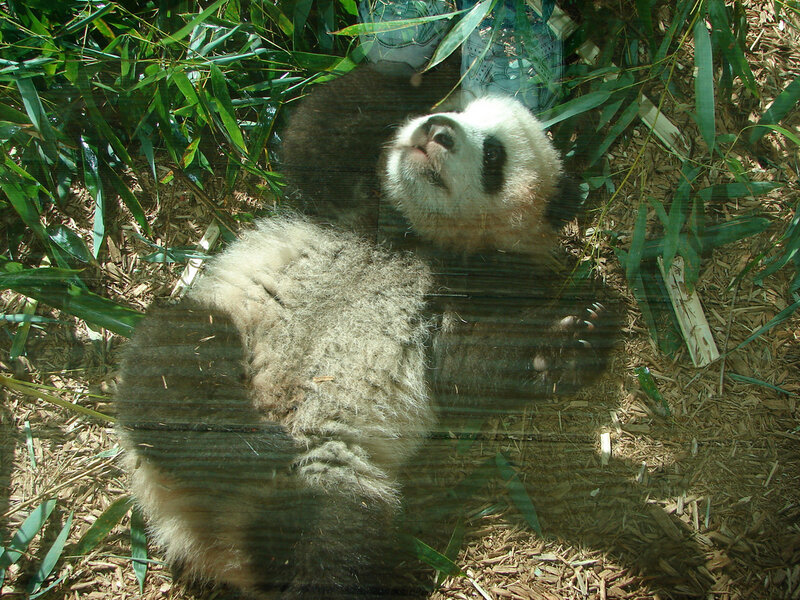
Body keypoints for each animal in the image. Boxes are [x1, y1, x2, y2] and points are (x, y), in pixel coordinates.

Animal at [116, 80, 617, 599]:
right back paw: (242, 442)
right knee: (174, 362)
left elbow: (468, 362)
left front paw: (576, 337)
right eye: (457, 108)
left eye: (494, 155)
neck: (417, 239)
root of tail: (214, 543)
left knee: (338, 548)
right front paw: (426, 65)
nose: (438, 129)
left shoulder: (469, 287)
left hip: (336, 479)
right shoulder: (343, 206)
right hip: (225, 321)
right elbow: (317, 132)